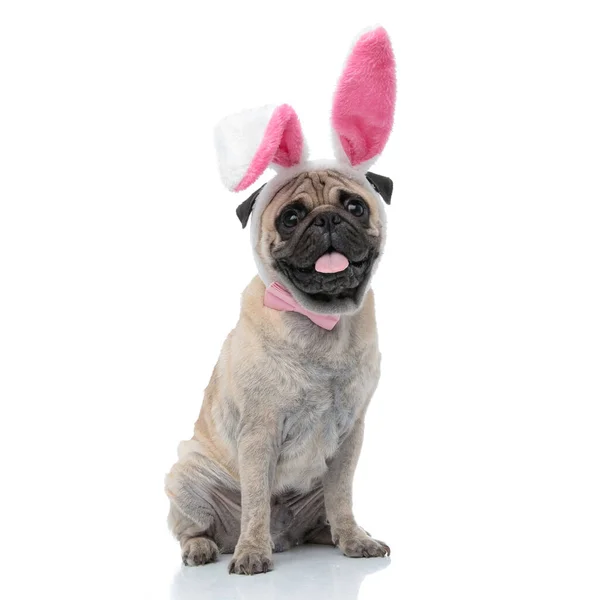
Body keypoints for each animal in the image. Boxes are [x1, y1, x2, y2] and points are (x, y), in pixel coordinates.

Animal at [165, 25, 398, 576]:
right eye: (291, 218)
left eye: (355, 206)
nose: (327, 220)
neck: (319, 324)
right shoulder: (259, 433)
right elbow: (254, 500)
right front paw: (252, 552)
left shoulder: (350, 437)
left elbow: (342, 496)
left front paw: (353, 539)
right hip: (186, 477)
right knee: (196, 527)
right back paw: (207, 547)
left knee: (328, 510)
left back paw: (335, 536)